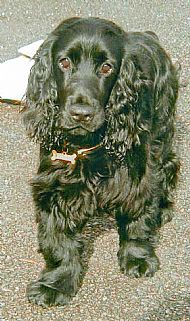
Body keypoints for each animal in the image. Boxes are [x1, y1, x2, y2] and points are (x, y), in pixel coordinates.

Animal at [22, 16, 180, 304]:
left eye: (107, 67)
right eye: (64, 62)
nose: (81, 113)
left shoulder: (137, 177)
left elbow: (138, 219)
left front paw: (138, 258)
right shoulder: (54, 186)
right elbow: (58, 240)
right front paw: (56, 283)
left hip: (163, 132)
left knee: (168, 166)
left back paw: (163, 208)